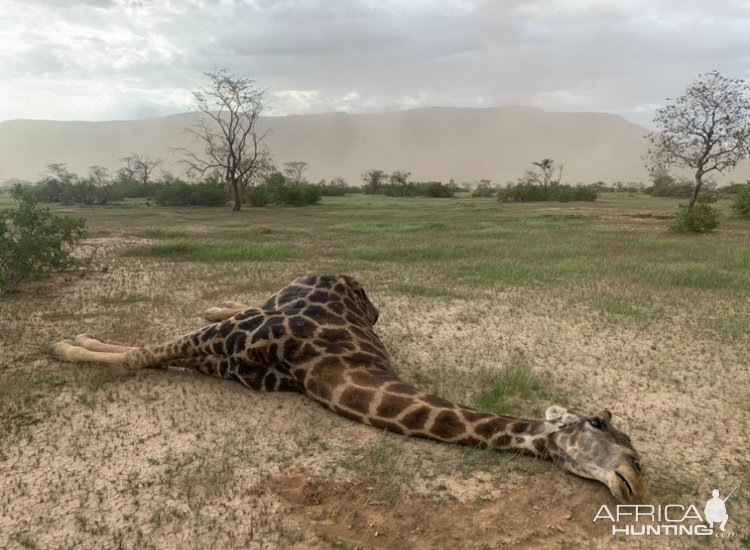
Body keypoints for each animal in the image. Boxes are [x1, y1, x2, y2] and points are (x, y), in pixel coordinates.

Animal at [50, 276, 648, 504]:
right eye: (599, 423)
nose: (636, 481)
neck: (319, 364)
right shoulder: (244, 337)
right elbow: (139, 354)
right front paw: (68, 344)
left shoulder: (237, 365)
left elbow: (148, 353)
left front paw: (75, 344)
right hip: (273, 302)